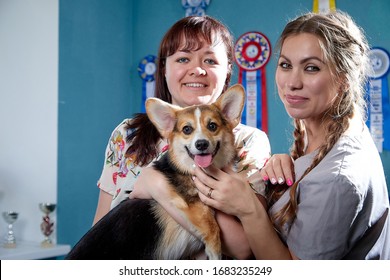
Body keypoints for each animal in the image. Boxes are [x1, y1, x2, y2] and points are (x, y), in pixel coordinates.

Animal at [66, 83, 245, 260]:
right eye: (187, 129)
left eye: (212, 126)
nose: (201, 144)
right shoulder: (188, 204)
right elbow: (212, 225)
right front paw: (215, 252)